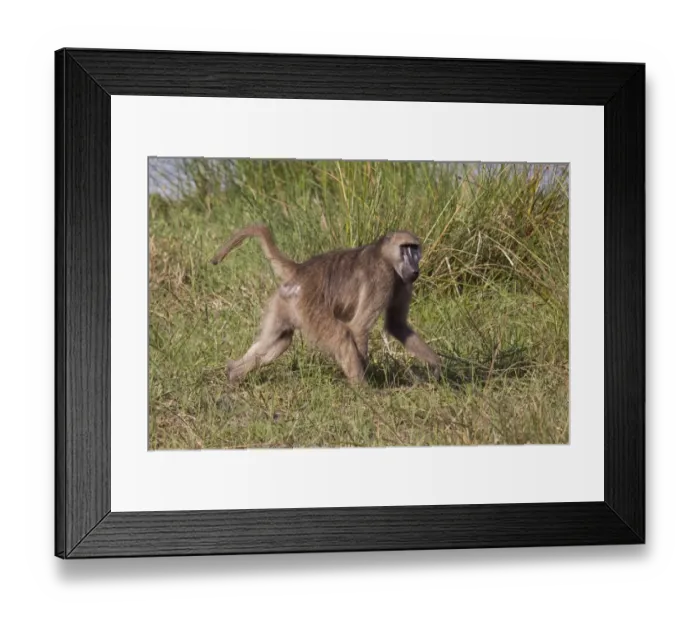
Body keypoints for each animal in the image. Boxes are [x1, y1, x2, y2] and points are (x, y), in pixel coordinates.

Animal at [210, 223, 441, 385]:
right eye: (405, 248)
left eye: (415, 248)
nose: (415, 269)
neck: (385, 255)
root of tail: (301, 269)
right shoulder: (381, 278)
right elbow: (359, 327)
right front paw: (369, 377)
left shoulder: (403, 283)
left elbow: (396, 325)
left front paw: (438, 367)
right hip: (309, 305)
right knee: (341, 334)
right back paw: (363, 390)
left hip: (286, 302)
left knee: (278, 341)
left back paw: (233, 374)